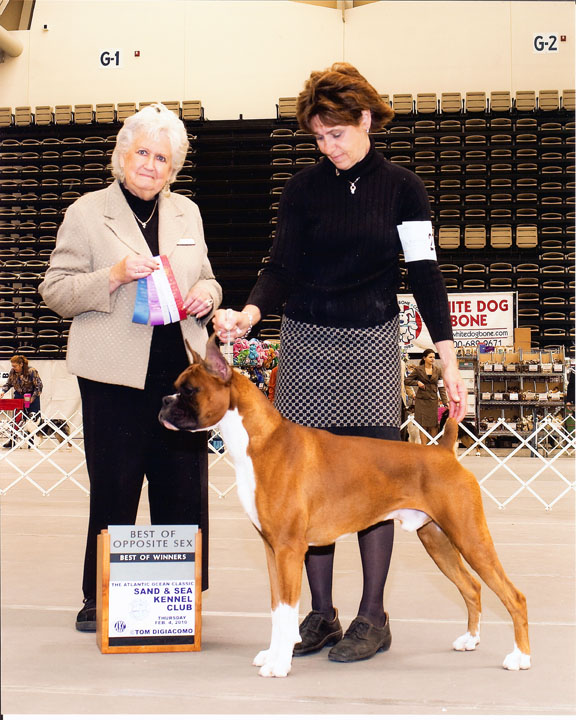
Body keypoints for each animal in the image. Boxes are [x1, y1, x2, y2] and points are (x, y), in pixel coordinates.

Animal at [159, 336, 532, 676]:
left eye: (189, 390)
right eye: (176, 388)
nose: (163, 402)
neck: (261, 441)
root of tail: (444, 451)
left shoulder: (288, 550)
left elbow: (287, 609)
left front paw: (279, 664)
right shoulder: (271, 549)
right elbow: (277, 608)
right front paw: (272, 654)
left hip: (470, 538)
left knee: (513, 596)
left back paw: (520, 658)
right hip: (437, 539)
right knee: (472, 587)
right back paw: (470, 639)